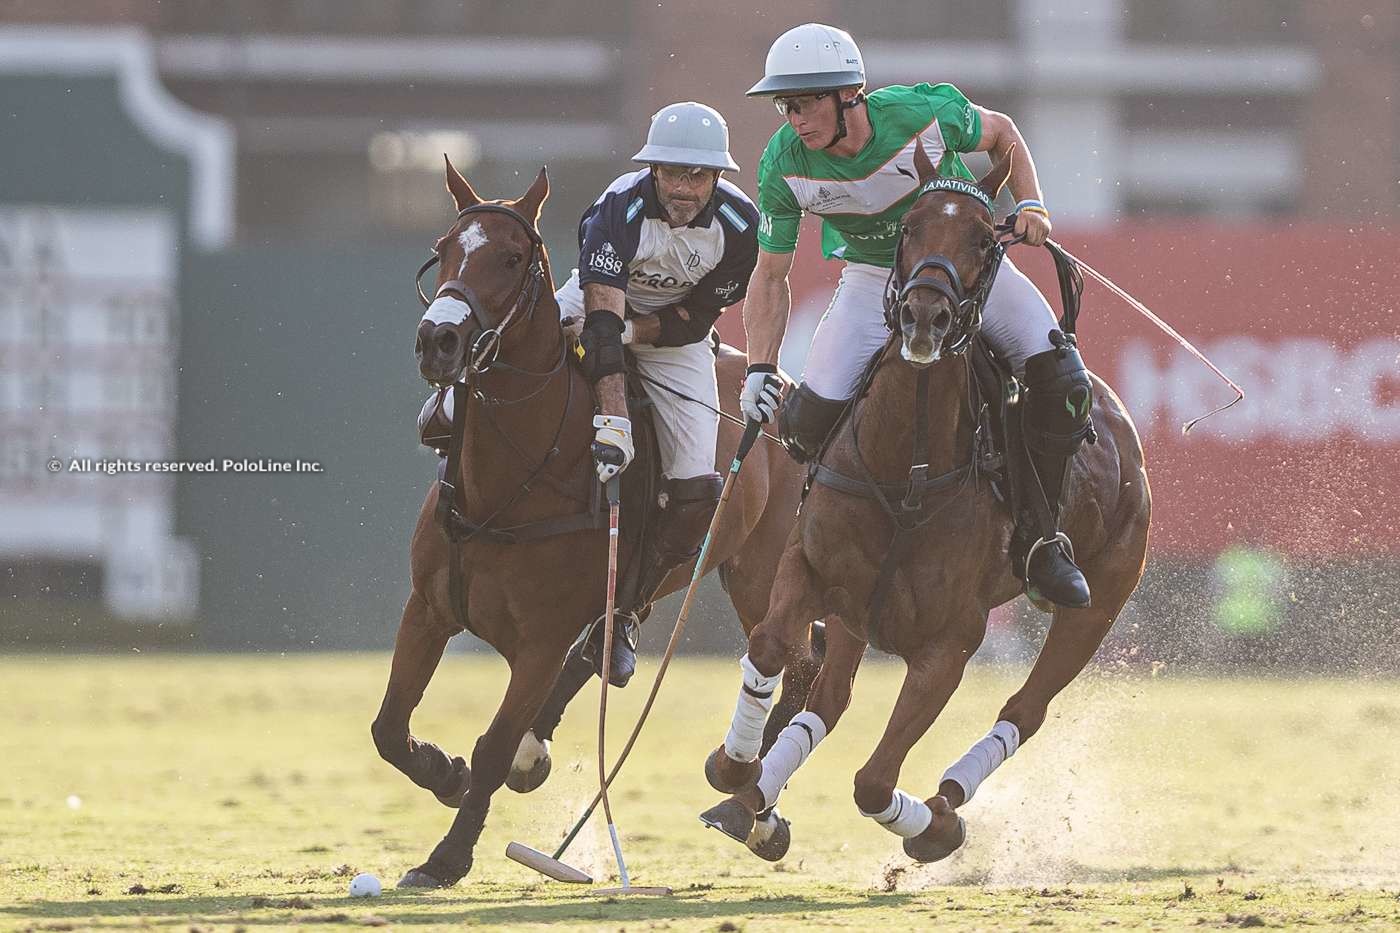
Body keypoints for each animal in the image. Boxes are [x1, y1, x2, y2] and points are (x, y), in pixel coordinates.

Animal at [372, 156, 817, 885]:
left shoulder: (538, 641)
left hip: (762, 573)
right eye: (444, 249)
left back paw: (754, 811)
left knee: (798, 661)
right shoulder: (428, 607)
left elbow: (491, 745)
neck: (509, 482)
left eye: (513, 256)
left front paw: (446, 857)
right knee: (603, 645)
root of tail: (785, 392)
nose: (438, 340)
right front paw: (445, 773)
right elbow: (389, 727)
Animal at [700, 141, 1148, 862]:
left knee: (1025, 709)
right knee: (828, 698)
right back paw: (746, 804)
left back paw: (947, 798)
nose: (925, 317)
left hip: (1103, 597)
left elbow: (873, 782)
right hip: (855, 613)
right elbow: (770, 645)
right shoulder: (809, 567)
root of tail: (1117, 414)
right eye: (907, 228)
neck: (903, 470)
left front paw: (937, 828)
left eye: (986, 239)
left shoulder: (951, 643)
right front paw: (734, 767)